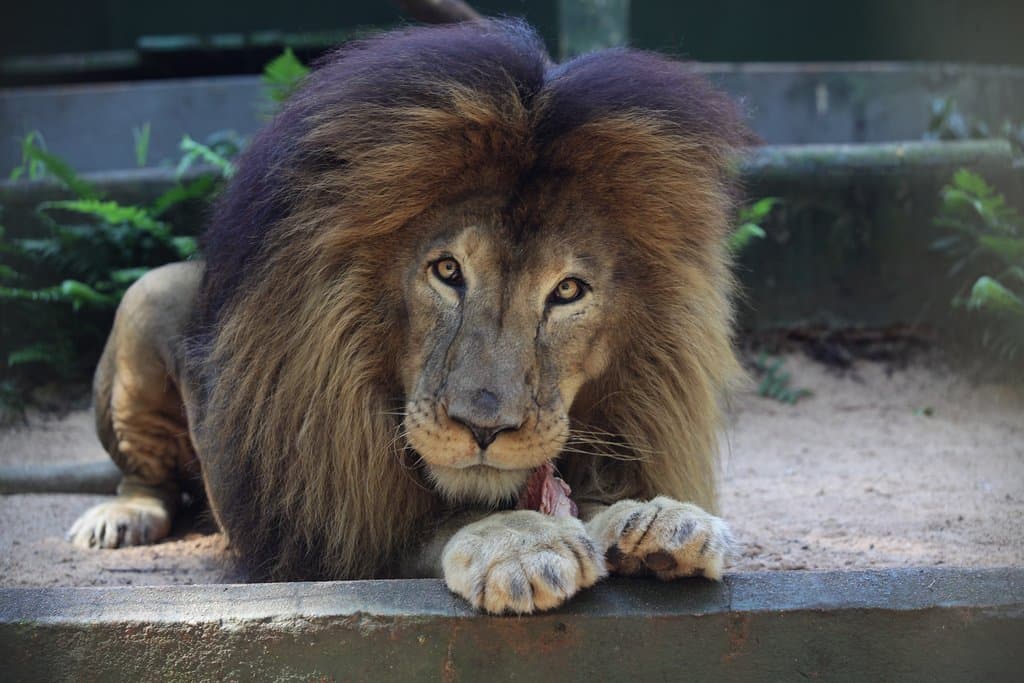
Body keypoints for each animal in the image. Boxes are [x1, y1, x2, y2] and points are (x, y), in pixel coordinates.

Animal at [67, 19, 751, 614]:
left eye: (567, 290)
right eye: (447, 271)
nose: (483, 429)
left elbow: (581, 499)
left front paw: (655, 519)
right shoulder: (324, 541)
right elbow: (444, 524)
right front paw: (519, 542)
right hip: (149, 294)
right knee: (144, 477)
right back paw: (120, 517)